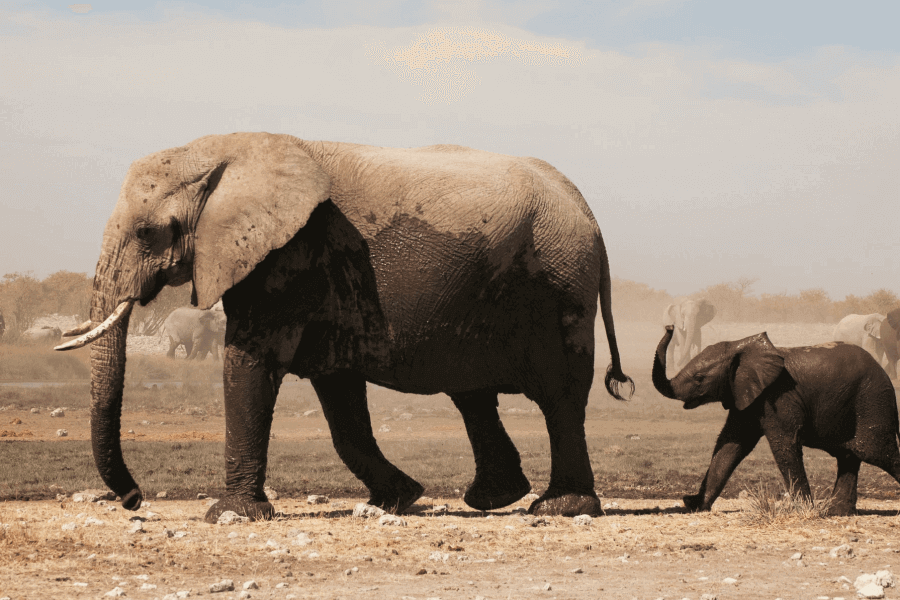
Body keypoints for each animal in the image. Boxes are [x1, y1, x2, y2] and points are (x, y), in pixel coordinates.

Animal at [55, 132, 633, 522]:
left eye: (147, 232)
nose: (134, 500)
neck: (223, 150)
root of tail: (585, 207)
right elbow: (339, 401)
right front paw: (398, 499)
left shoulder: (288, 257)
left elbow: (249, 365)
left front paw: (230, 516)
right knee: (472, 393)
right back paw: (495, 499)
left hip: (559, 283)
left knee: (559, 396)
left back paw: (559, 508)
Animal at [652, 326, 900, 516]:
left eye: (699, 378)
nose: (670, 327)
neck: (740, 347)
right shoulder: (747, 396)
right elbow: (730, 446)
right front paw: (695, 505)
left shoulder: (778, 396)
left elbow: (784, 445)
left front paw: (804, 511)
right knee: (849, 456)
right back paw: (836, 512)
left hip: (872, 402)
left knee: (879, 453)